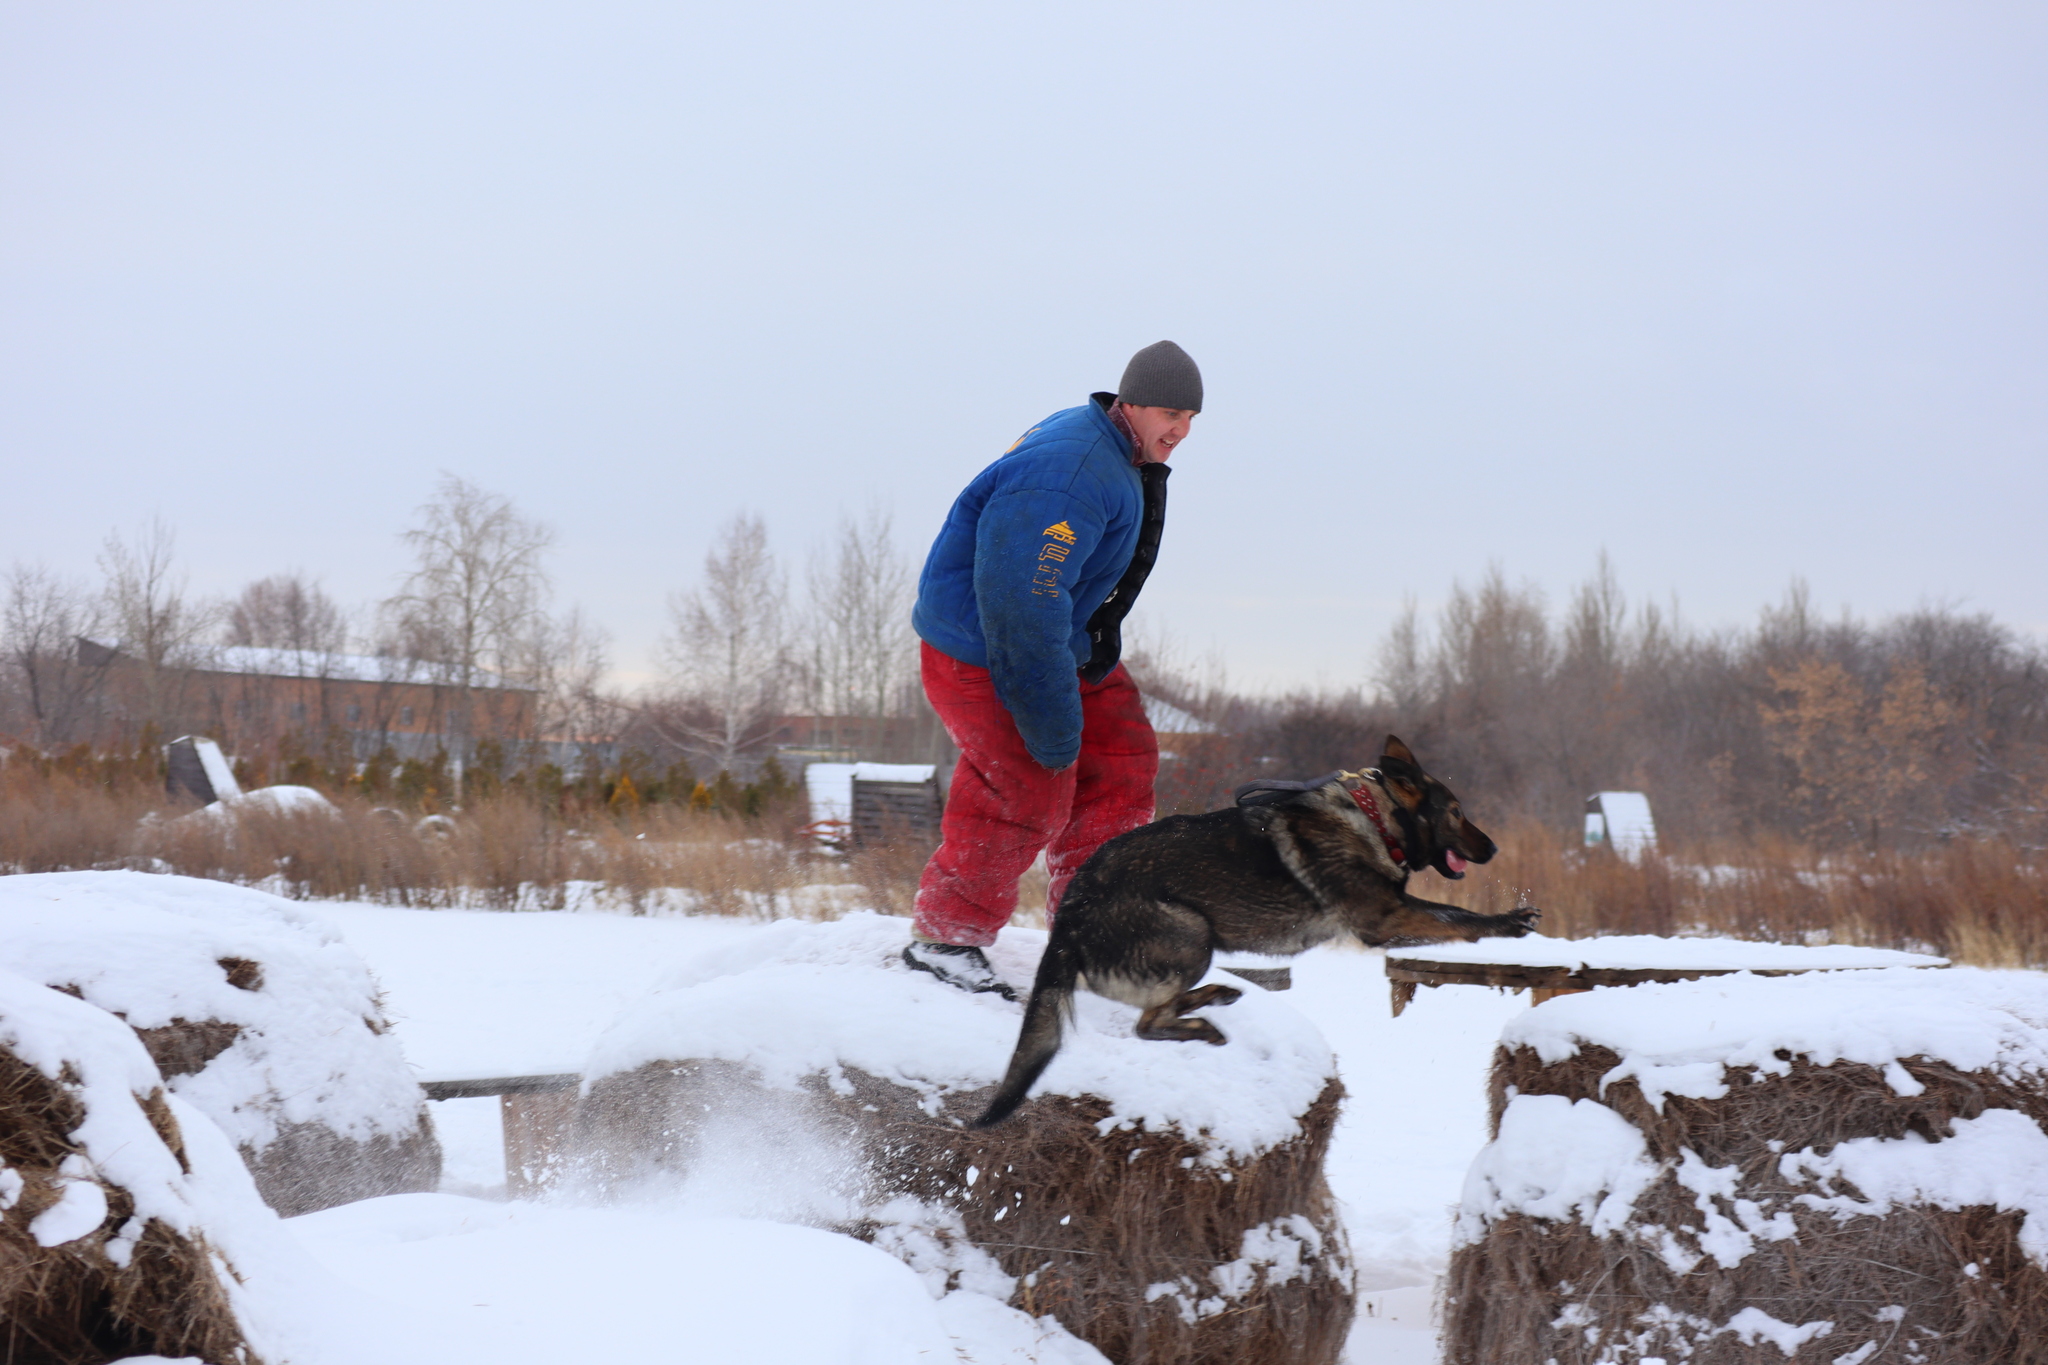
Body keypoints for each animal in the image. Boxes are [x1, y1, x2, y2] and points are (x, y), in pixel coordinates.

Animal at [974, 740, 1540, 1129]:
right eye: (1456, 814)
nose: (1492, 848)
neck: (1376, 819)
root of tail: (1071, 909)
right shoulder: (1386, 919)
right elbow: (1454, 916)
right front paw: (1507, 923)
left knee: (1161, 1008)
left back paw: (1217, 997)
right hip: (1191, 933)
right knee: (1148, 1022)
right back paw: (1204, 1023)